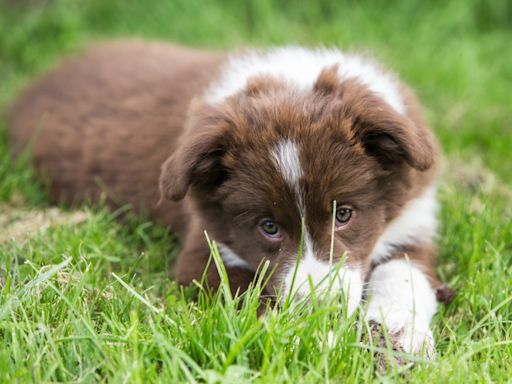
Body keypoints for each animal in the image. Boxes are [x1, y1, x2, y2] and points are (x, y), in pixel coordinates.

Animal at [9, 39, 452, 356]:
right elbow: (245, 292)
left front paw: (399, 334)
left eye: (344, 214)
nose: (317, 312)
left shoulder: (410, 220)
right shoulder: (203, 249)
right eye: (268, 227)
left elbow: (406, 275)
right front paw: (312, 338)